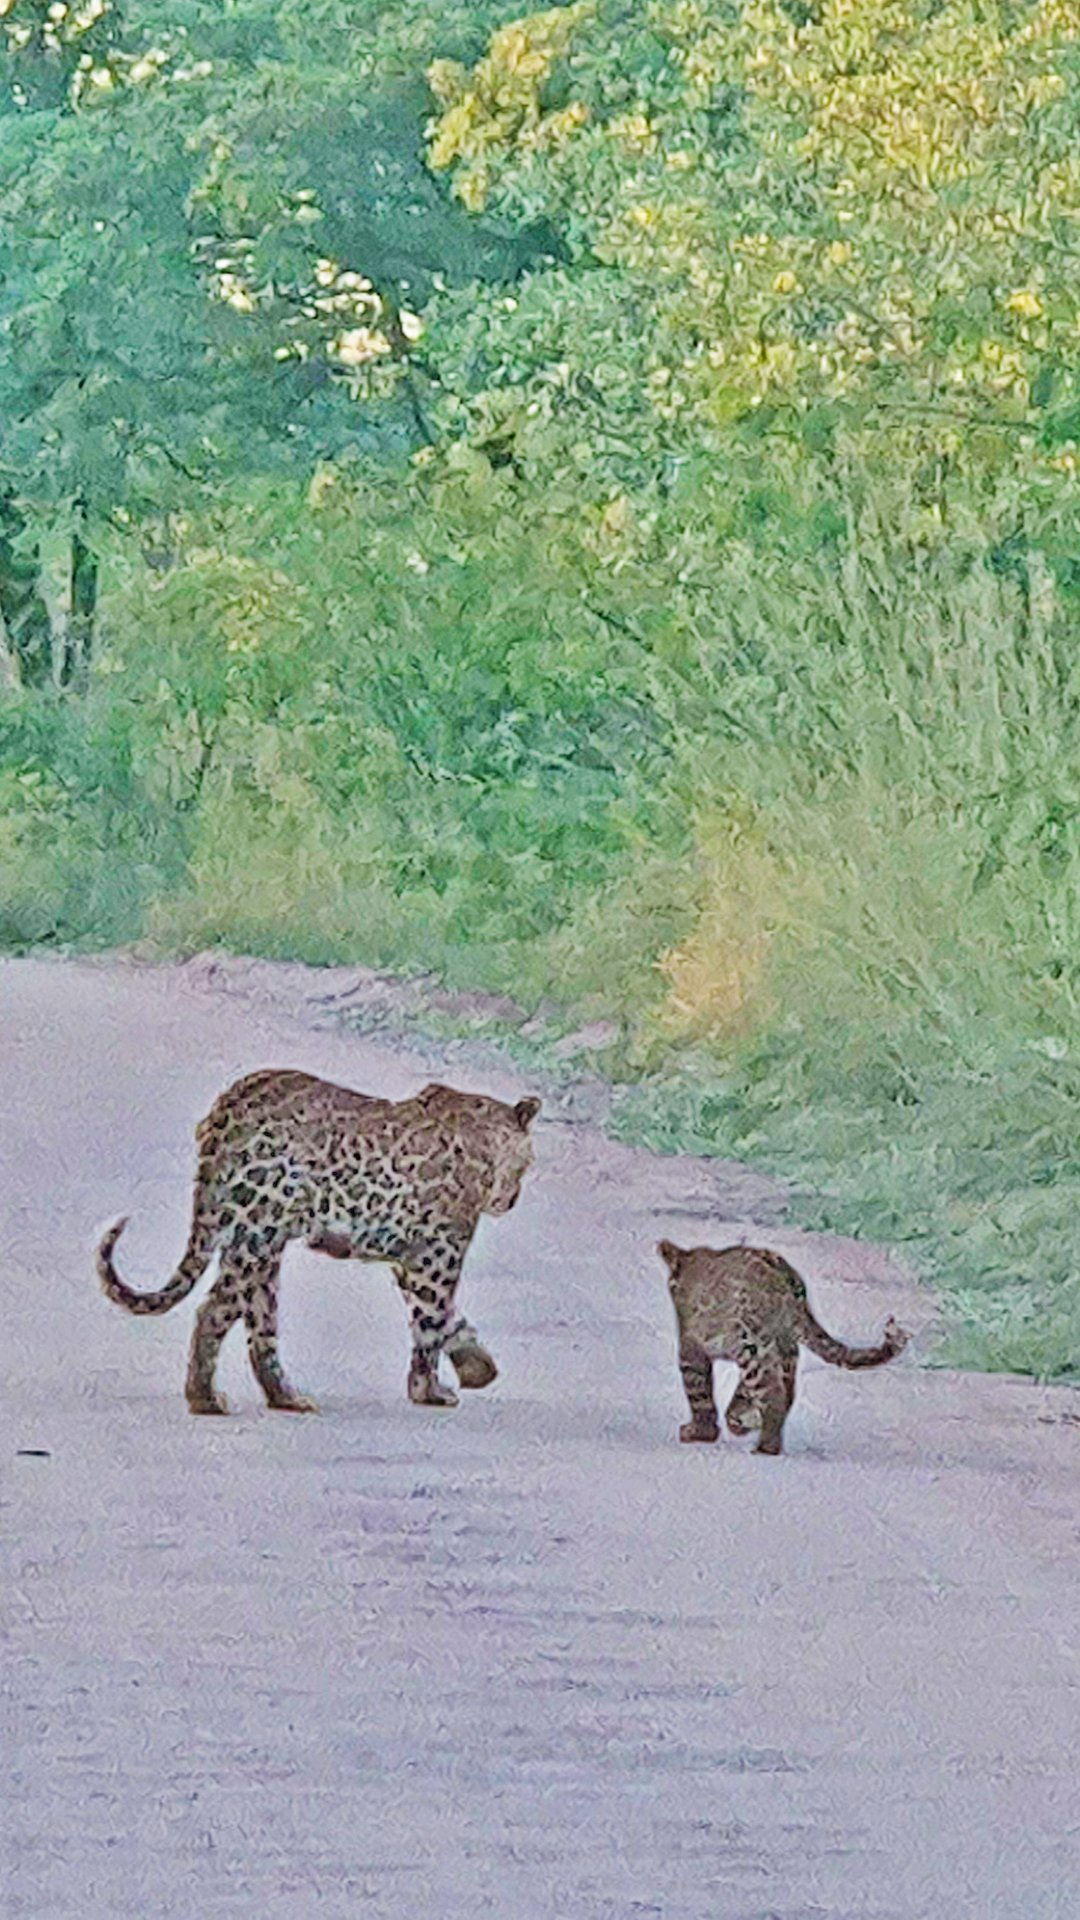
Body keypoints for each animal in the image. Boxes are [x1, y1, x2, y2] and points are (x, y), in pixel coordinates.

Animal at [96, 1069, 541, 1417]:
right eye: (528, 1163)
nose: (511, 1200)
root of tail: (231, 1101)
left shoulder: (412, 1256)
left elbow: (434, 1318)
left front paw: (459, 1369)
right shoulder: (438, 1253)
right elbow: (433, 1320)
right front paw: (441, 1385)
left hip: (260, 1242)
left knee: (260, 1324)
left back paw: (286, 1398)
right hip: (258, 1233)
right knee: (215, 1310)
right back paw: (205, 1400)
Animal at [658, 1240, 909, 1457]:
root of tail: (789, 1279)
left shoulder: (691, 1349)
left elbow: (699, 1395)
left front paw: (700, 1432)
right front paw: (738, 1418)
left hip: (755, 1345)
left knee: (774, 1395)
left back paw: (764, 1448)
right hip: (782, 1349)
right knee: (786, 1393)